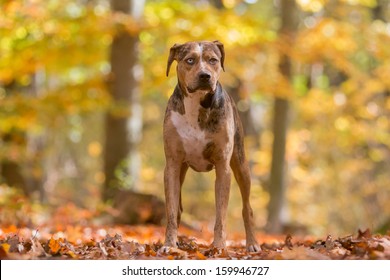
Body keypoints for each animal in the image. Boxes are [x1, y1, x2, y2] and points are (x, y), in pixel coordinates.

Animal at [161, 40, 258, 253]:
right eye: (190, 60)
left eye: (213, 60)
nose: (205, 76)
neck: (196, 105)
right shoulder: (172, 165)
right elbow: (170, 211)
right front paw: (169, 244)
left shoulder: (223, 167)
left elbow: (221, 214)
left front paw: (219, 246)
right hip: (181, 170)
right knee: (178, 207)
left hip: (241, 164)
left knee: (247, 208)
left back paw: (253, 243)